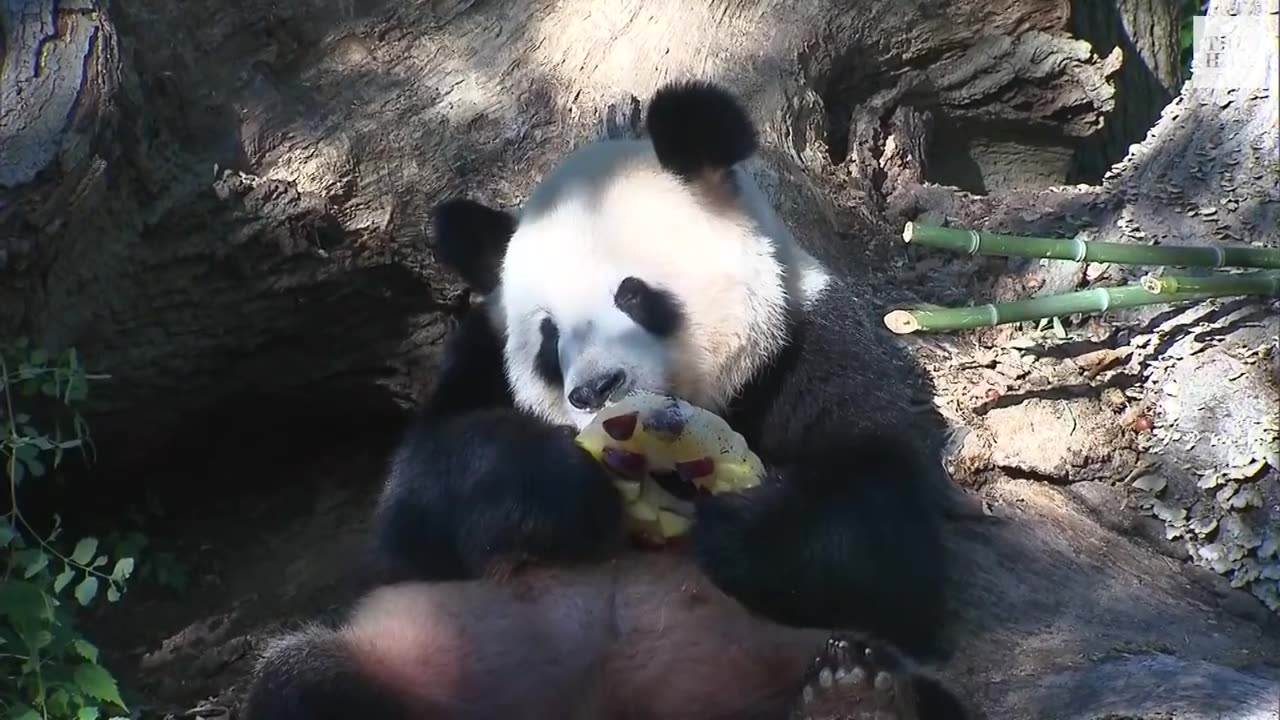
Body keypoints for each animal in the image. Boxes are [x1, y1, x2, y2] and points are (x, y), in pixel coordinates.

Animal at [241, 79, 967, 717]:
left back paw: (857, 696)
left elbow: (887, 534)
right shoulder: (479, 355)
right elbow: (415, 505)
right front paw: (558, 484)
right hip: (413, 652)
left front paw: (735, 524)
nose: (596, 391)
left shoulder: (807, 341)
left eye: (632, 294)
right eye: (548, 336)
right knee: (303, 682)